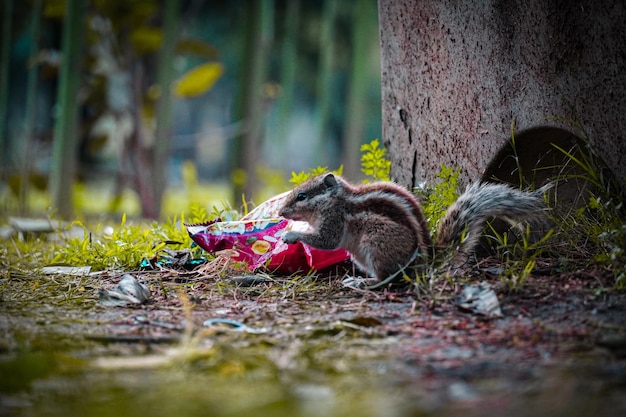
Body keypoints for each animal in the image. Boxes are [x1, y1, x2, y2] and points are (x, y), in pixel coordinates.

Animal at [276, 172, 544, 290]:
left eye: (302, 196)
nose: (280, 212)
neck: (336, 200)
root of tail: (428, 262)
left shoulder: (334, 220)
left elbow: (326, 241)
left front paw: (290, 235)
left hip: (376, 243)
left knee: (388, 278)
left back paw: (362, 282)